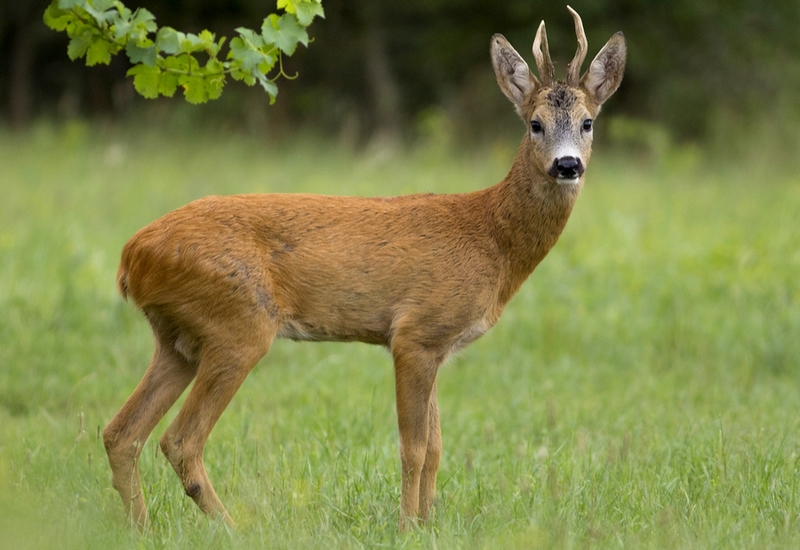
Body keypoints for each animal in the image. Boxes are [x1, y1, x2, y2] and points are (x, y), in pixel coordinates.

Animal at [101, 7, 624, 536]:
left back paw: (141, 528)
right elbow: (414, 447)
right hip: (238, 324)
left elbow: (437, 447)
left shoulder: (439, 345)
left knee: (120, 432)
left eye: (588, 122)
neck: (490, 239)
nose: (567, 165)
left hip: (179, 339)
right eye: (535, 124)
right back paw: (233, 528)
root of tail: (131, 255)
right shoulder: (416, 333)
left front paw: (428, 524)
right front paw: (408, 526)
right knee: (180, 440)